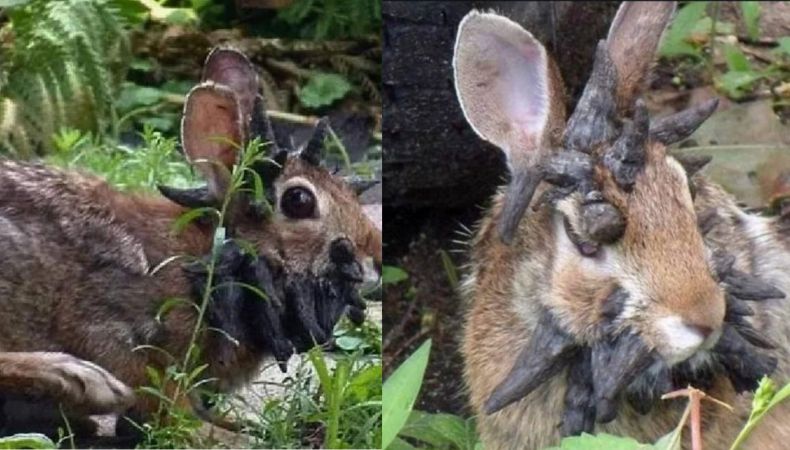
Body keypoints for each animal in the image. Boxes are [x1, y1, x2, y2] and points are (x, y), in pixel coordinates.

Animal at [0, 47, 381, 440]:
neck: (209, 256)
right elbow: (161, 401)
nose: (375, 253)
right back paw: (79, 381)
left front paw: (234, 424)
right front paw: (219, 437)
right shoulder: (113, 325)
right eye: (299, 201)